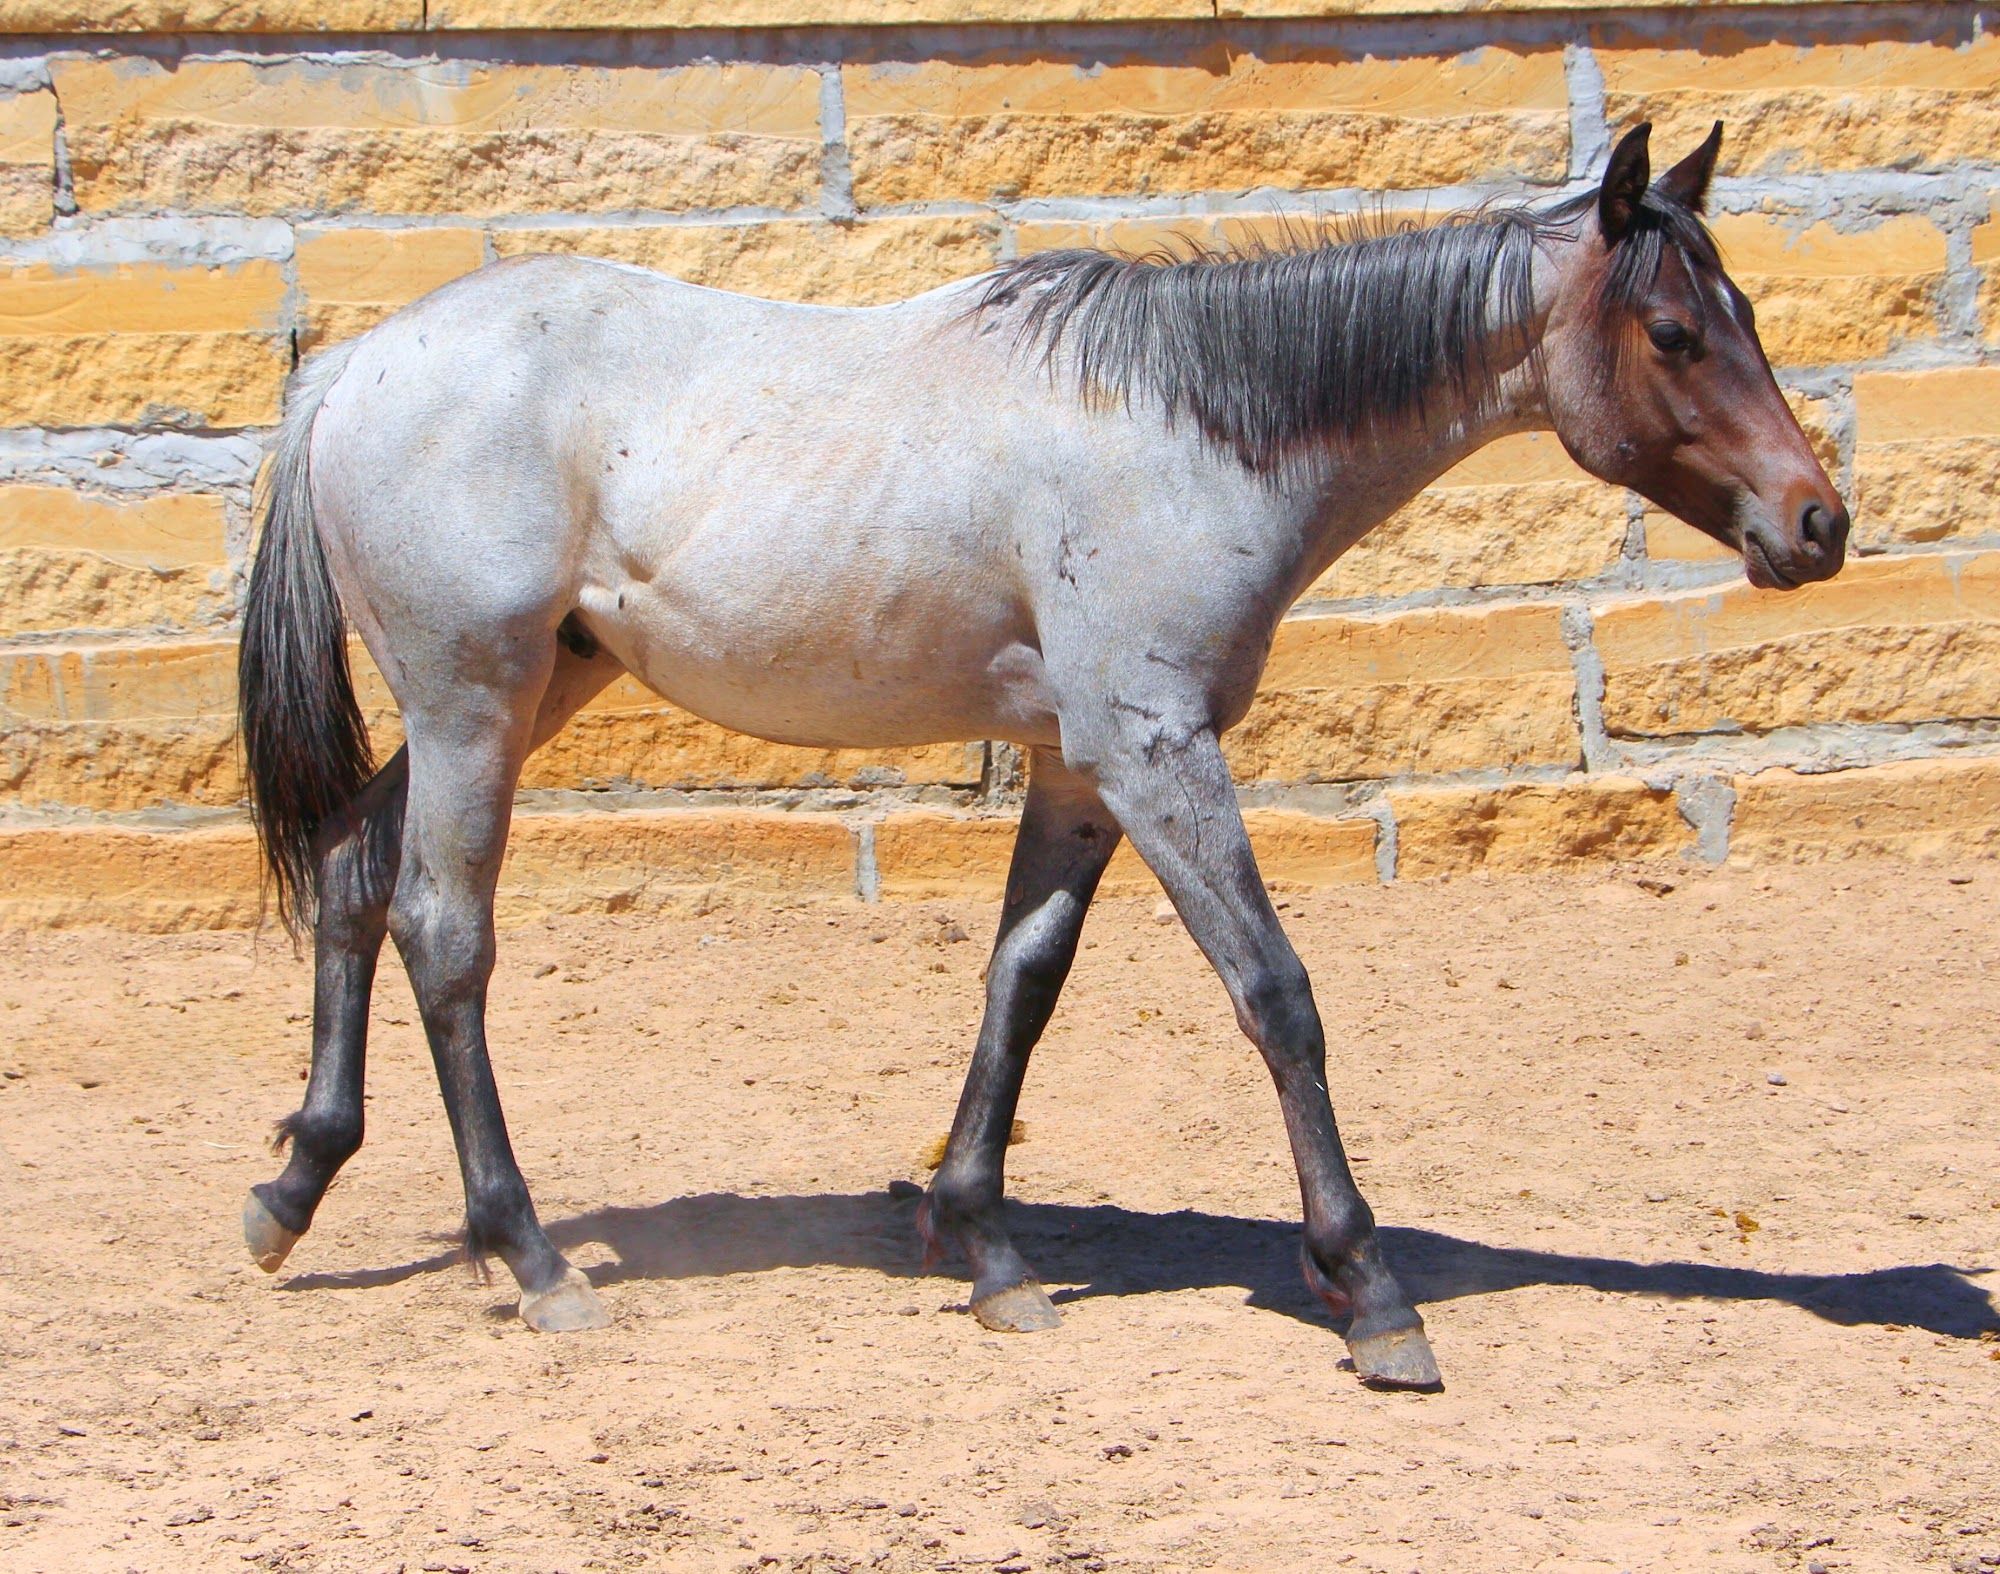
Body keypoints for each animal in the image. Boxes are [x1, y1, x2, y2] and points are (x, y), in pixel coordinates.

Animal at [236, 122, 1848, 1390]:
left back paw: (295, 1183)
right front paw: (1370, 1291)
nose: (1818, 521)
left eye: (1744, 310)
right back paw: (530, 1255)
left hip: (517, 695)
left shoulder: (1082, 769)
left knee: (352, 873)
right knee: (445, 933)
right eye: (1675, 334)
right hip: (473, 703)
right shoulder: (1154, 753)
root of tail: (356, 368)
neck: (1182, 431)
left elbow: (1025, 981)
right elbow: (1277, 995)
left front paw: (986, 1247)